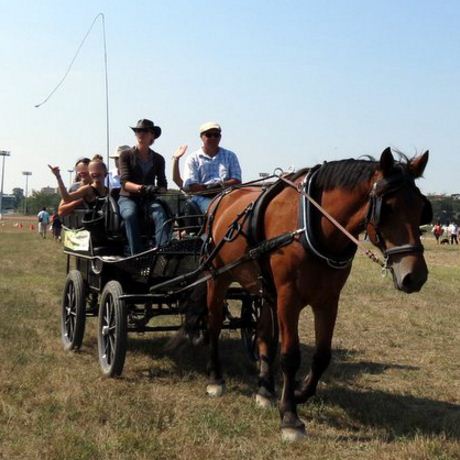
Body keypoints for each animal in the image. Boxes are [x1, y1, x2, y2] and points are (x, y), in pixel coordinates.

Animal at [199, 149, 432, 440]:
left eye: (421, 208)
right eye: (387, 208)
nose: (415, 276)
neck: (312, 224)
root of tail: (220, 197)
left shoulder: (328, 300)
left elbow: (322, 356)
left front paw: (298, 392)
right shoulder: (288, 298)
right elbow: (290, 355)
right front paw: (290, 416)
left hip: (265, 290)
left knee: (263, 335)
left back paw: (265, 390)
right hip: (217, 277)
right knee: (214, 324)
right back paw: (215, 379)